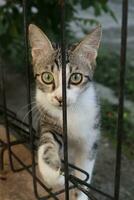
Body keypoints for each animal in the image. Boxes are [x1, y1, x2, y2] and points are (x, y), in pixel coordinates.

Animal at [28, 22, 101, 199]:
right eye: (47, 77)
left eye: (76, 77)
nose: (60, 98)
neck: (70, 113)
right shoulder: (47, 119)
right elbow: (48, 141)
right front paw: (54, 176)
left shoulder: (91, 136)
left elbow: (85, 171)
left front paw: (80, 194)